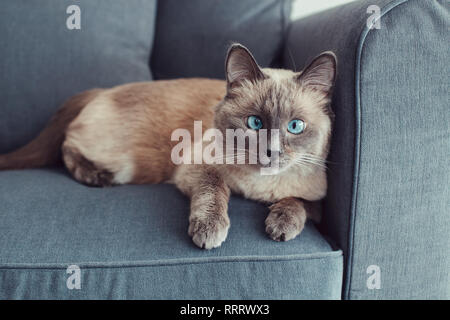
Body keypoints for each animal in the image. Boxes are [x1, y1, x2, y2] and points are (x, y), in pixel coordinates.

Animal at [0, 43, 336, 249]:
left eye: (295, 126)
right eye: (254, 123)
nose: (271, 152)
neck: (256, 190)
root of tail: (102, 90)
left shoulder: (319, 201)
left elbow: (296, 201)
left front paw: (280, 227)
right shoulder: (195, 166)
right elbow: (215, 190)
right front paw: (209, 232)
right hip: (129, 164)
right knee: (67, 147)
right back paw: (97, 178)